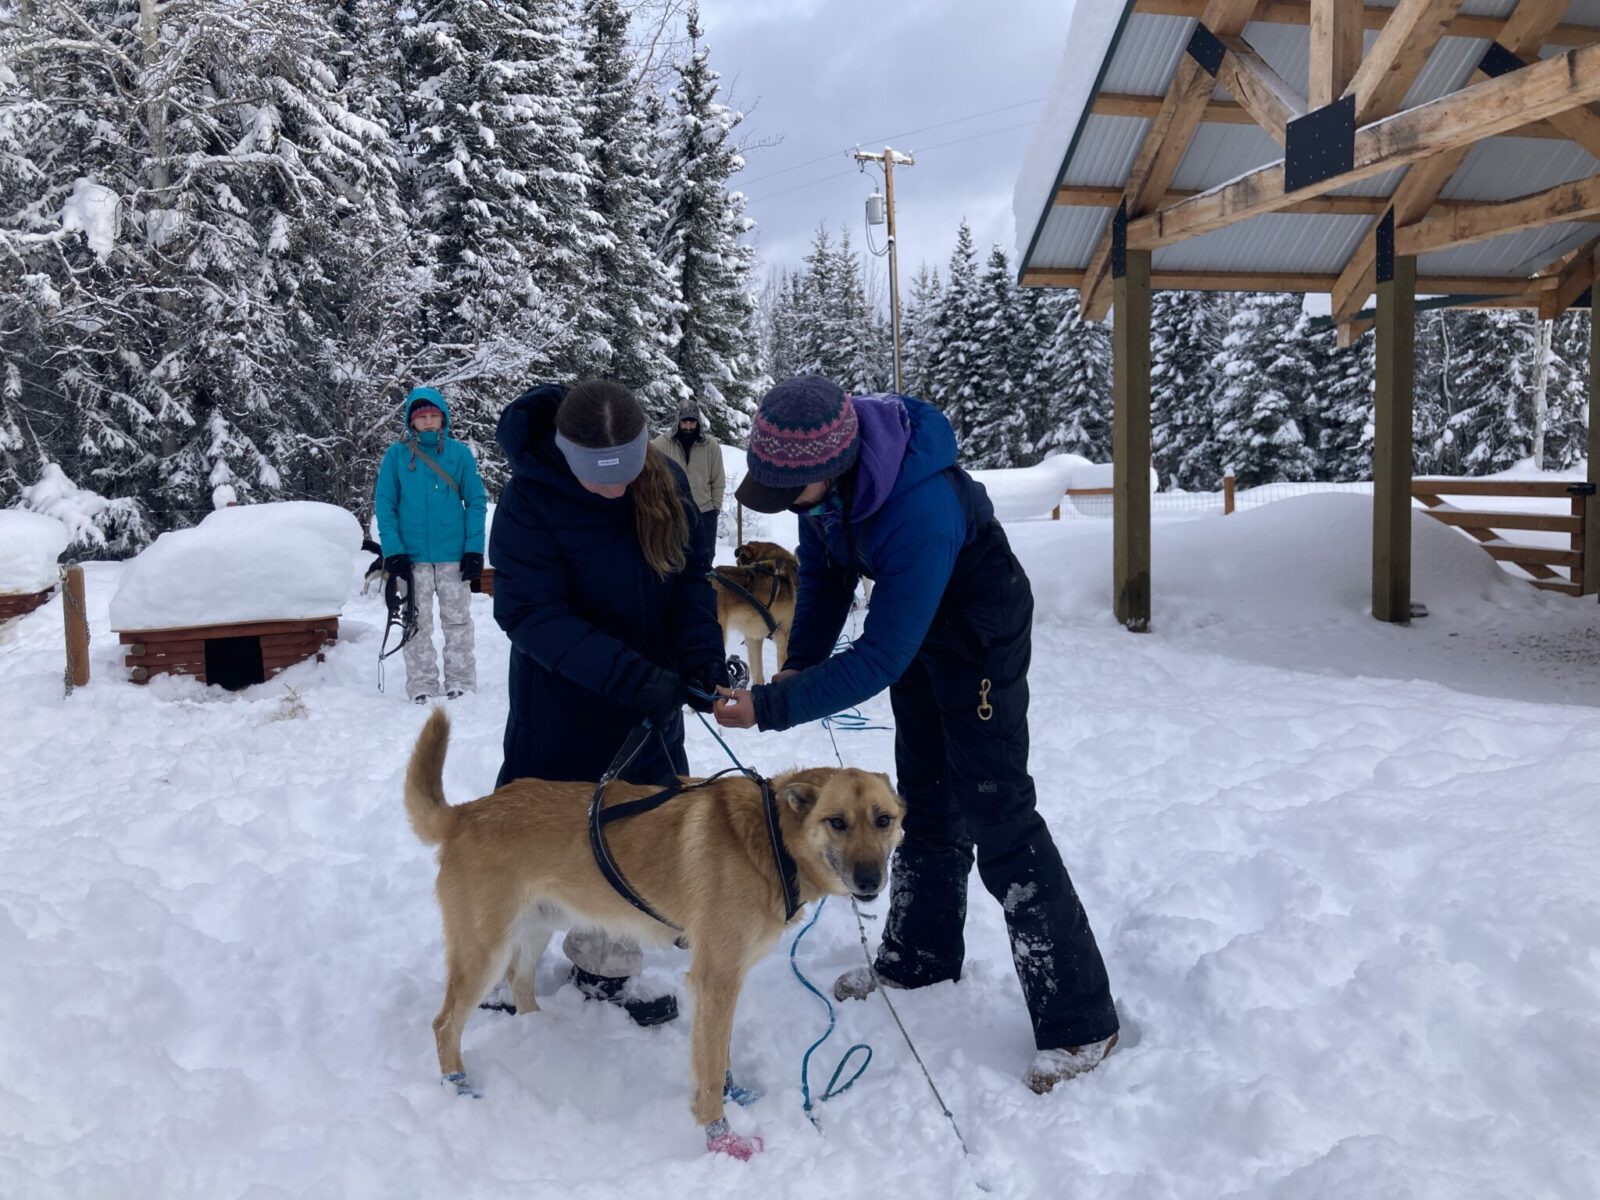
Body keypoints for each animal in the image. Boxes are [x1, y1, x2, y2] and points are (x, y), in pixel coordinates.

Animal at [406, 710, 908, 1158]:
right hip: (484, 952)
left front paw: (737, 1095)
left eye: (883, 820)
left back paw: (541, 1030)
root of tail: (466, 814)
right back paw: (458, 1086)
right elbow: (709, 1069)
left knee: (519, 981)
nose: (871, 881)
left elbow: (720, 1053)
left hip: (535, 930)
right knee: (444, 1023)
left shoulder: (726, 981)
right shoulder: (716, 978)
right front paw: (723, 1139)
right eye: (837, 822)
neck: (771, 840)